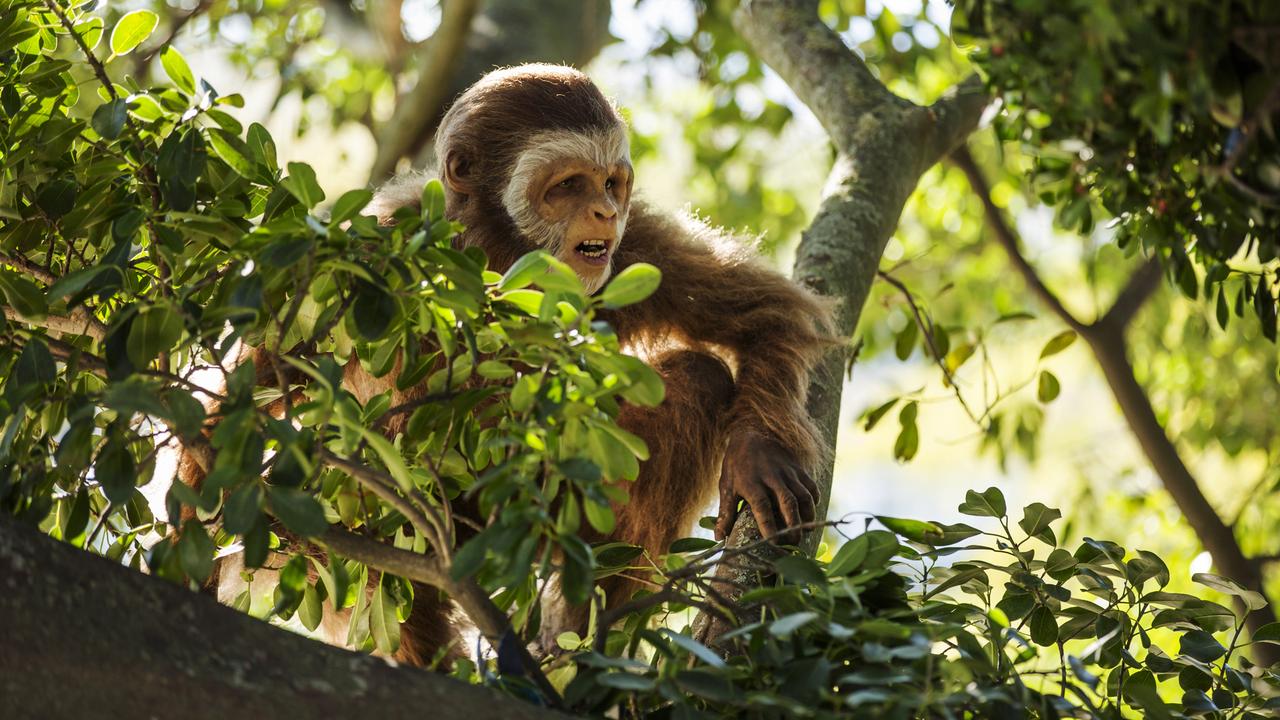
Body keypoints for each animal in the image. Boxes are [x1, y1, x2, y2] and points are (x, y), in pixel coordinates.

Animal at [185, 61, 834, 666]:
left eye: (610, 183)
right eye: (568, 185)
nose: (603, 212)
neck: (497, 254)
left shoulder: (635, 247)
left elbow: (767, 316)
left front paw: (758, 453)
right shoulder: (362, 250)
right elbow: (241, 406)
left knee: (699, 381)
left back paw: (587, 634)